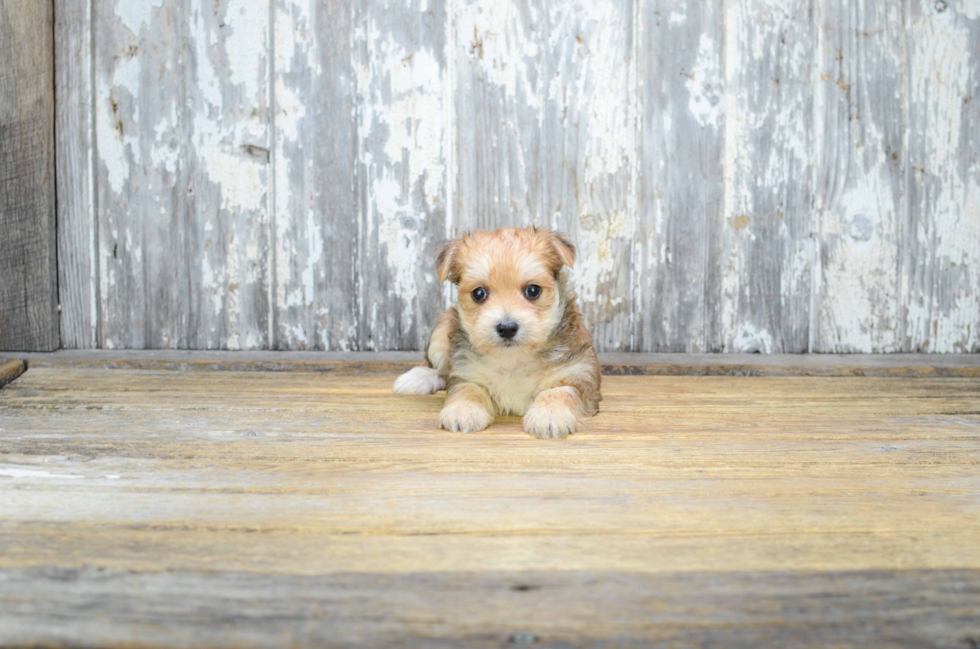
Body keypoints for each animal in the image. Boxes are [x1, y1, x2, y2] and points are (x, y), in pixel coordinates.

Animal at [394, 225, 600, 438]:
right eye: (479, 293)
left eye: (533, 290)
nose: (507, 328)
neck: (512, 359)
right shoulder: (466, 371)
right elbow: (468, 389)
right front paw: (463, 410)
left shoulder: (580, 376)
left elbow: (561, 391)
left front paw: (549, 415)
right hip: (441, 330)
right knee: (439, 369)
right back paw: (417, 378)